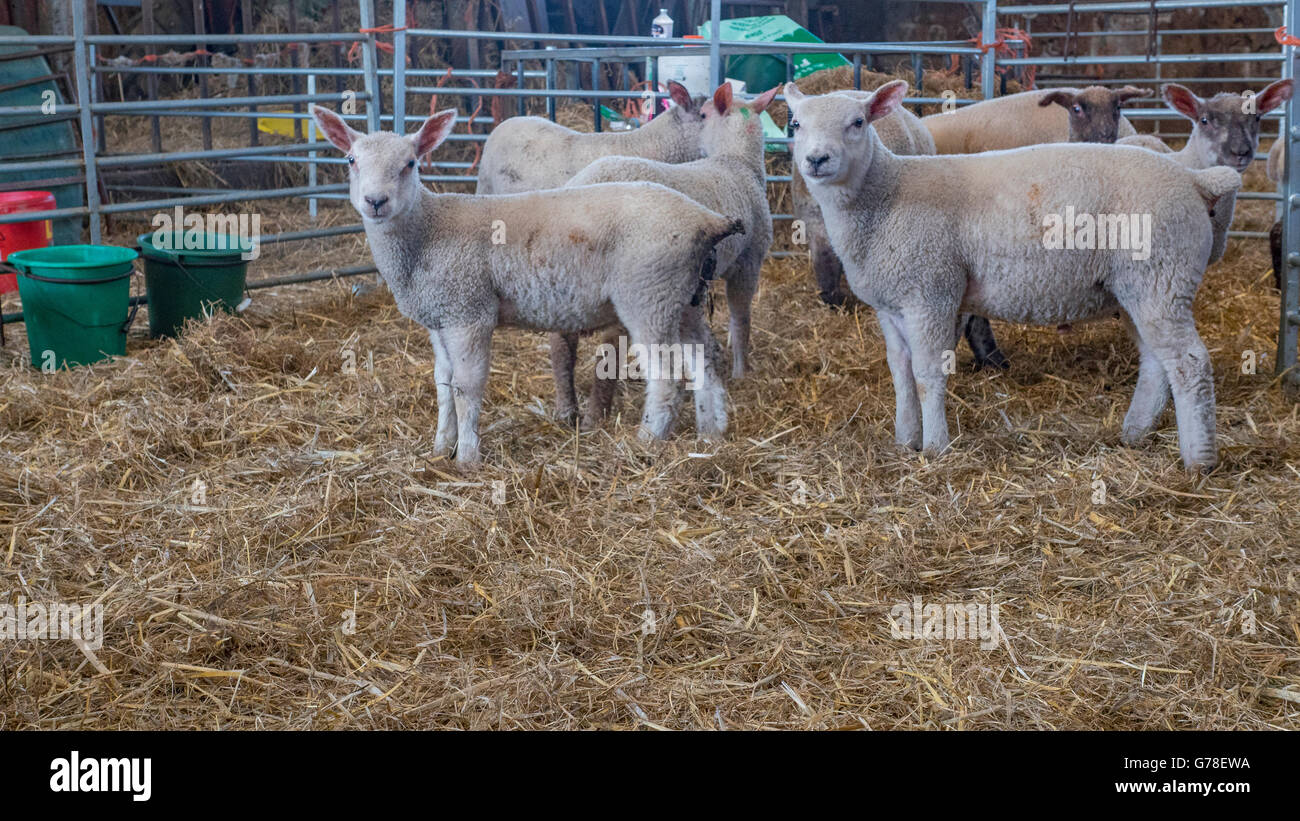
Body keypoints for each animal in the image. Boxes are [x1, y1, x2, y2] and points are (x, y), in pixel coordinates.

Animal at [309, 105, 748, 465]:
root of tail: (705, 218)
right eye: (351, 160)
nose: (375, 201)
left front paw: (467, 458)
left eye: (410, 163)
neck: (427, 233)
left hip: (648, 294)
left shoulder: (469, 313)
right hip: (683, 296)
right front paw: (439, 448)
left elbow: (467, 388)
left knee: (667, 376)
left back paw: (645, 442)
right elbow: (443, 385)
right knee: (704, 358)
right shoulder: (439, 317)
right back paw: (712, 433)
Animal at [780, 82, 1237, 470]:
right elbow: (901, 374)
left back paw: (1199, 460)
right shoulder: (891, 304)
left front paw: (935, 447)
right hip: (1136, 287)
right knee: (1157, 362)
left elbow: (927, 375)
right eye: (795, 124)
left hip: (1163, 276)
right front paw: (904, 439)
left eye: (858, 122)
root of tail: (1192, 178)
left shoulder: (931, 292)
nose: (816, 159)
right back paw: (1135, 433)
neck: (886, 198)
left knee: (1190, 364)